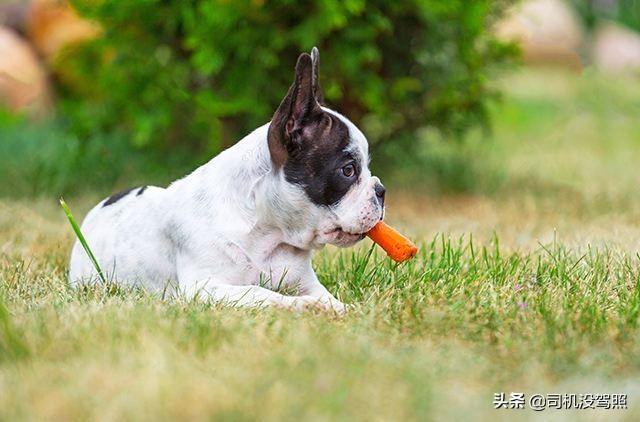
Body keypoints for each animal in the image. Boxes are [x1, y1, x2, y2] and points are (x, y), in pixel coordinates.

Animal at [72, 48, 388, 314]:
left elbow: (327, 297)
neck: (269, 235)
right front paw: (303, 306)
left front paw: (334, 307)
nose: (381, 191)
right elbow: (261, 293)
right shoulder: (204, 288)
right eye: (348, 170)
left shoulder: (306, 282)